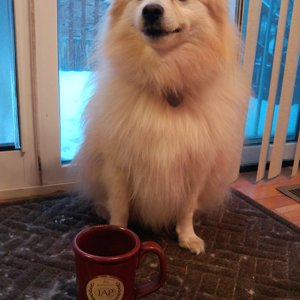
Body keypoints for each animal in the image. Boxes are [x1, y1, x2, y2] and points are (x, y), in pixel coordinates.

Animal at [75, 0, 248, 255]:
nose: (152, 10)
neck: (164, 76)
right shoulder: (118, 165)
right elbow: (120, 206)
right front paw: (117, 231)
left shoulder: (196, 166)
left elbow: (186, 207)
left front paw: (187, 236)